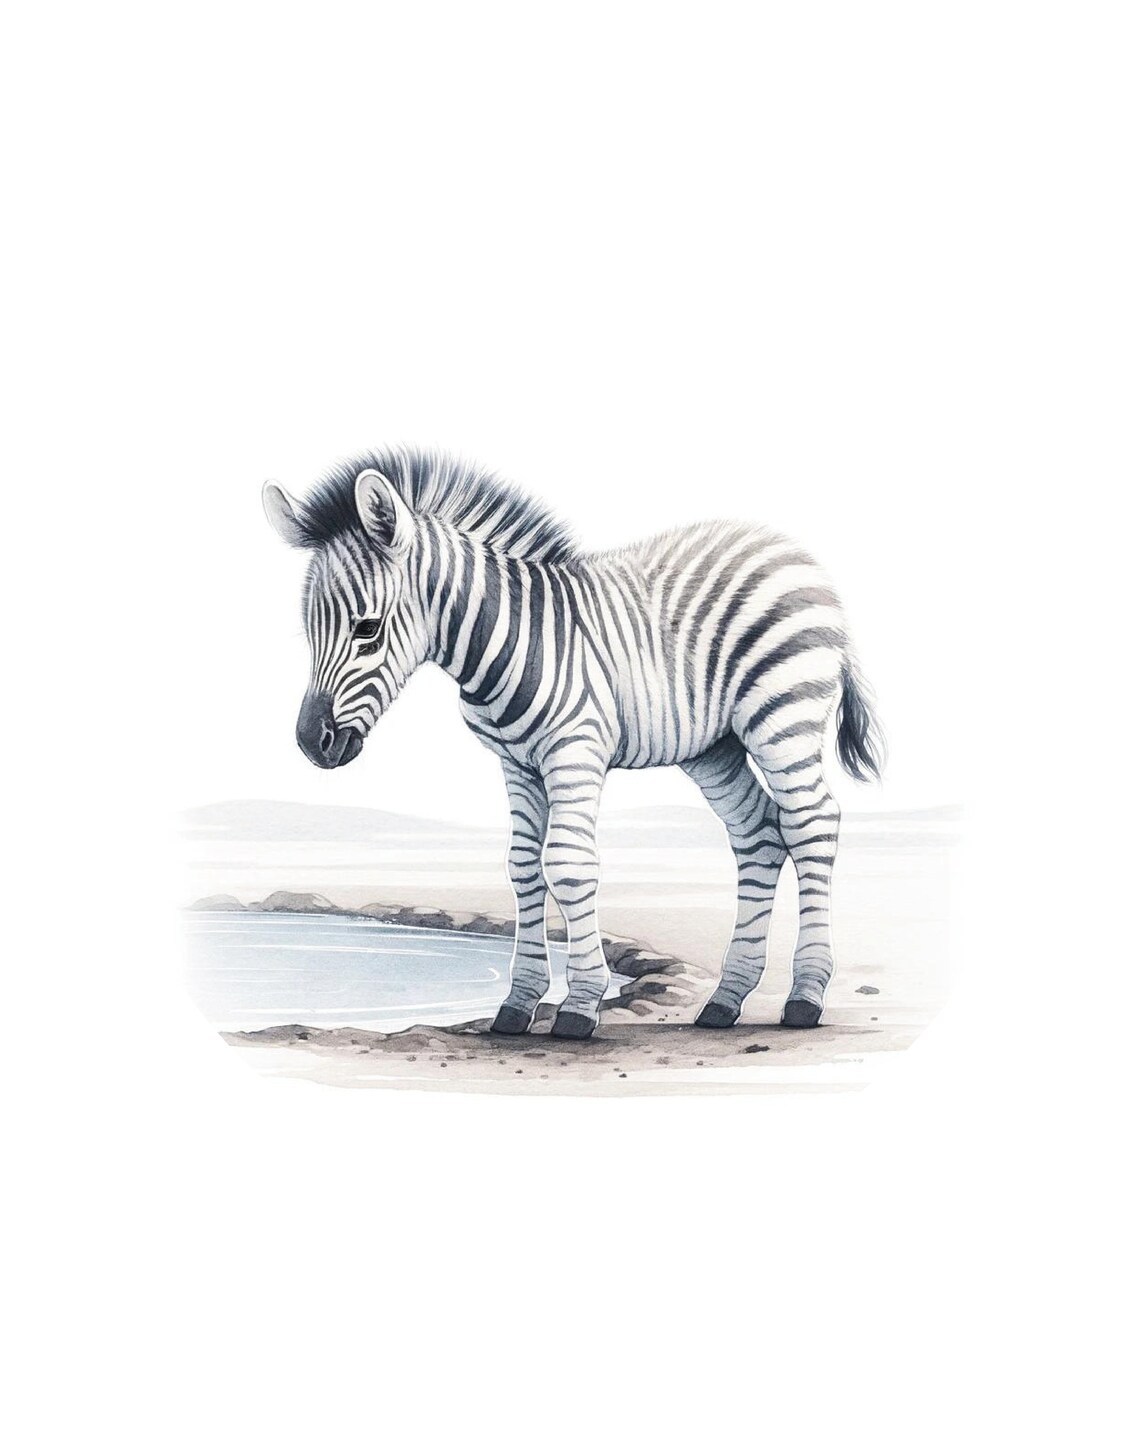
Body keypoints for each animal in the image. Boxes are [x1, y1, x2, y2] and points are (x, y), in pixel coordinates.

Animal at [262, 447, 884, 1040]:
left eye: (367, 629)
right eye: (309, 630)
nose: (311, 744)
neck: (510, 638)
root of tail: (788, 548)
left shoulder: (575, 752)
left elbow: (567, 864)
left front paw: (580, 1005)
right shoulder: (516, 764)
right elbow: (521, 866)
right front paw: (517, 1004)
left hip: (782, 716)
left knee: (811, 823)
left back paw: (805, 997)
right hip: (714, 746)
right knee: (757, 834)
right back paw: (725, 1000)